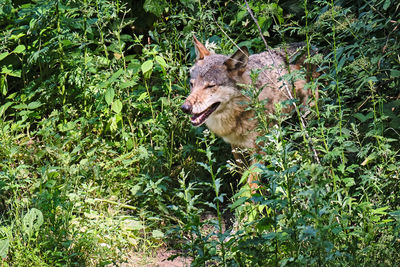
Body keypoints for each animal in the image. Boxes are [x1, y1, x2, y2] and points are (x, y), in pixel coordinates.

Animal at [182, 35, 318, 188]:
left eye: (210, 86)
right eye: (192, 84)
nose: (185, 108)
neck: (240, 112)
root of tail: (312, 46)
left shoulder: (259, 149)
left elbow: (251, 184)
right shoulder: (235, 146)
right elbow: (242, 173)